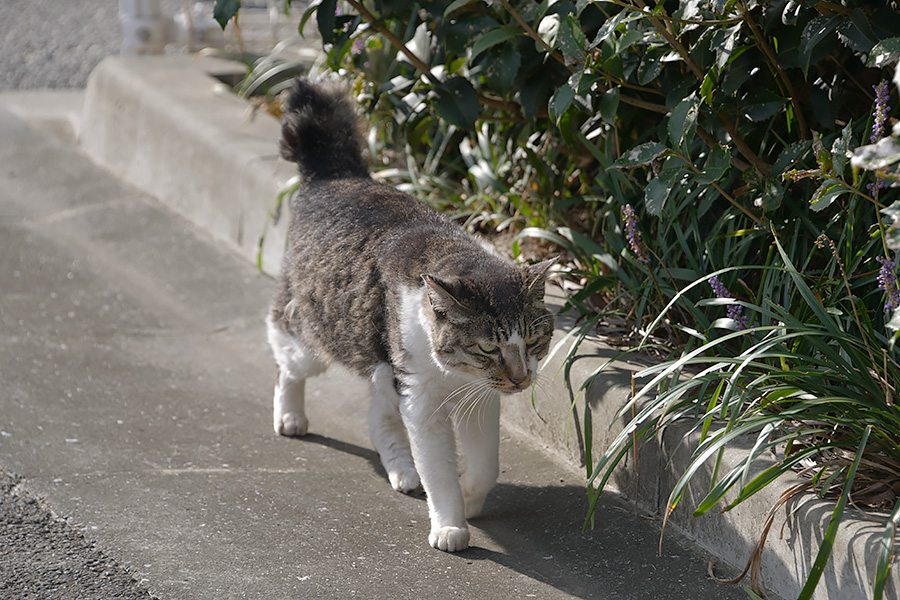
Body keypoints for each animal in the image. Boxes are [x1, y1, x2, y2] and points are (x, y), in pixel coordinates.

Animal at [268, 77, 556, 552]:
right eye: (487, 348)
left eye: (533, 341)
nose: (520, 379)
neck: (455, 375)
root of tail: (335, 174)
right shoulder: (422, 400)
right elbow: (438, 470)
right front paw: (450, 525)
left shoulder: (479, 399)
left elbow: (486, 464)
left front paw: (471, 498)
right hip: (317, 334)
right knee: (285, 355)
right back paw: (290, 416)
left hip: (384, 365)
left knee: (380, 416)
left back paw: (401, 469)